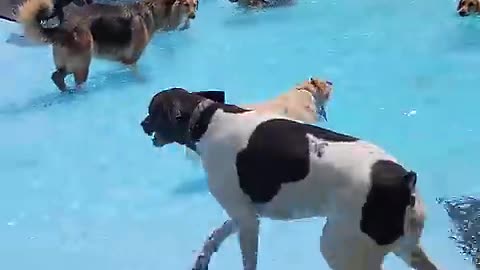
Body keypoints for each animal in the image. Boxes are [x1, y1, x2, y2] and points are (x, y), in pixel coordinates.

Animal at [16, 0, 197, 92]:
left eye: (194, 4)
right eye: (186, 4)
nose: (193, 16)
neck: (151, 9)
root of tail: (61, 28)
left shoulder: (125, 60)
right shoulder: (132, 59)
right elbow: (138, 73)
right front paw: (143, 82)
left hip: (70, 63)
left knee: (57, 77)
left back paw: (66, 91)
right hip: (83, 62)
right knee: (76, 82)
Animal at [140, 88, 438, 270]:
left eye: (152, 111)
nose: (142, 125)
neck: (206, 120)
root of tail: (404, 181)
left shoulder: (247, 221)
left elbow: (248, 261)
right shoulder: (244, 214)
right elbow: (215, 235)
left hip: (339, 249)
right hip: (405, 247)